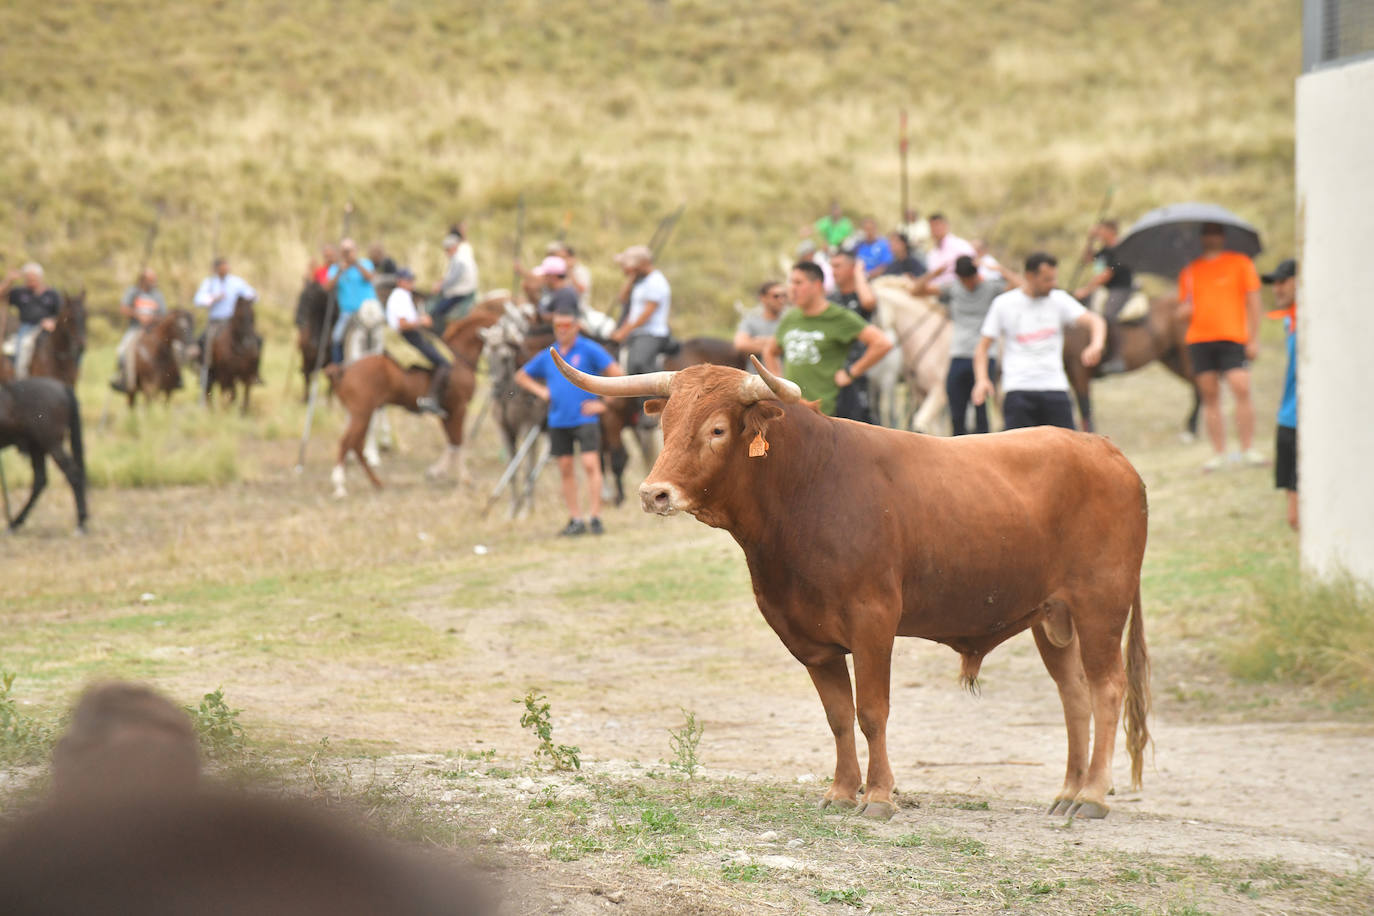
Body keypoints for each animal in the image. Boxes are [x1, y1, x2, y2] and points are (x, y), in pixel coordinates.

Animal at [0, 379, 87, 532]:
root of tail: (63, 387)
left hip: (51, 443)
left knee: (72, 474)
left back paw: (81, 522)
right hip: (37, 446)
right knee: (40, 480)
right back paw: (16, 522)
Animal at [327, 304, 505, 497]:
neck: (459, 360)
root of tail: (344, 370)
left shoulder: (447, 412)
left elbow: (452, 442)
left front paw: (437, 472)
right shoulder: (458, 409)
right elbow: (457, 442)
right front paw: (464, 478)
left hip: (361, 415)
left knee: (356, 446)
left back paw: (376, 482)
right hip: (361, 415)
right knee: (347, 443)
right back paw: (340, 486)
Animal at [555, 348, 1148, 818]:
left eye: (717, 429)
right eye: (666, 424)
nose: (653, 493)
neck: (808, 488)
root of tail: (1107, 451)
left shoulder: (874, 623)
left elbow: (872, 712)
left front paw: (880, 797)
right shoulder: (807, 638)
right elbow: (839, 716)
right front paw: (842, 792)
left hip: (1100, 605)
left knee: (1107, 688)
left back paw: (1093, 796)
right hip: (1052, 618)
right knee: (1073, 694)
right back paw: (1067, 792)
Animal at [1055, 295, 1198, 436]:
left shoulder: (1079, 371)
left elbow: (1084, 405)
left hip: (1185, 356)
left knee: (1197, 388)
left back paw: (1192, 428)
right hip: (1171, 359)